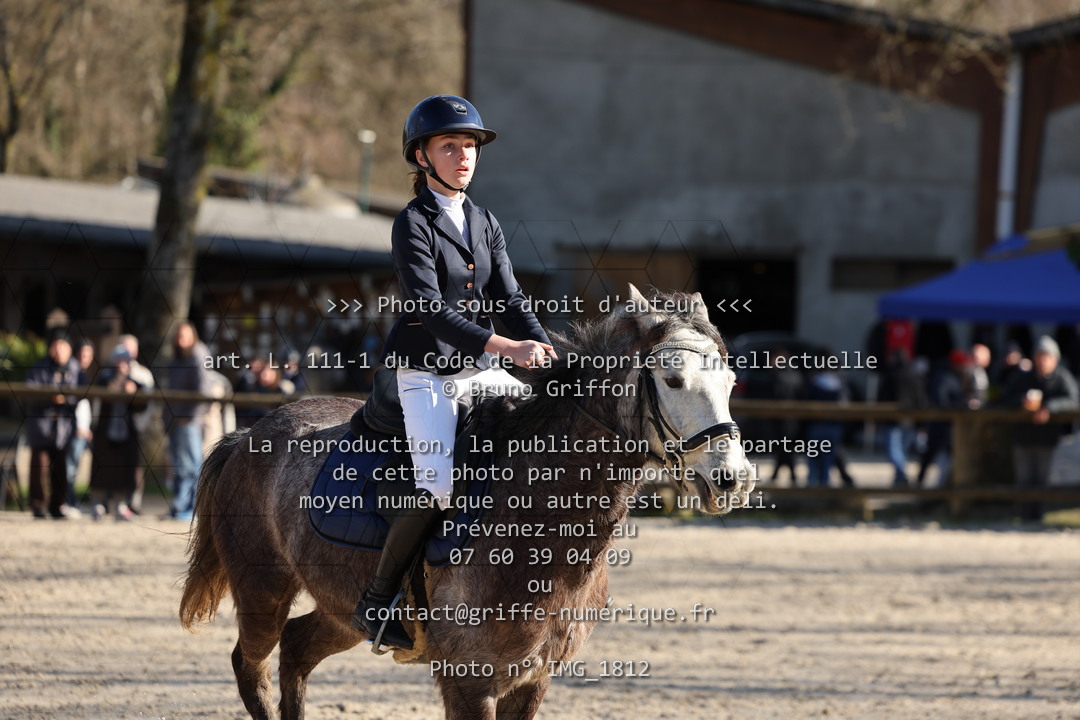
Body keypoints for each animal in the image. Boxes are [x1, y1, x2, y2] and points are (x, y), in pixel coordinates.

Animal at [179, 284, 757, 720]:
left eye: (730, 380)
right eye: (673, 379)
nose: (734, 479)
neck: (540, 517)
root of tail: (253, 432)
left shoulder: (533, 681)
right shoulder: (470, 682)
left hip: (340, 612)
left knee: (297, 651)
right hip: (262, 592)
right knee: (250, 665)